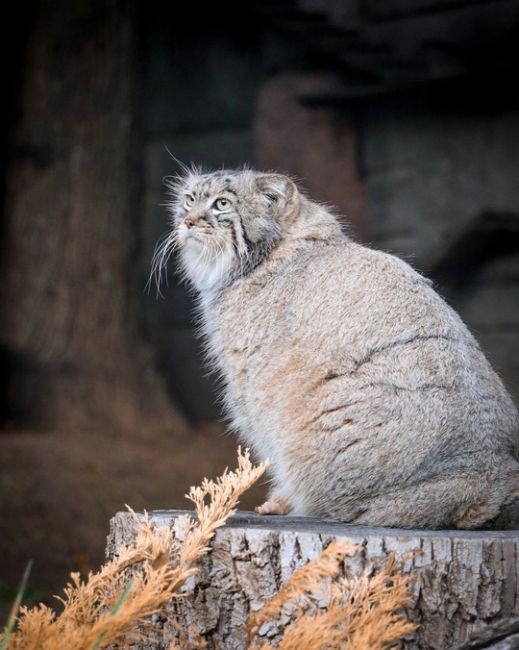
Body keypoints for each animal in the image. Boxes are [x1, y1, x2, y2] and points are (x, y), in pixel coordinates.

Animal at [153, 167, 519, 528]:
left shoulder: (250, 381)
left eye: (222, 204)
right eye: (189, 199)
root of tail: (486, 474)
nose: (187, 221)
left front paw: (280, 500)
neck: (283, 248)